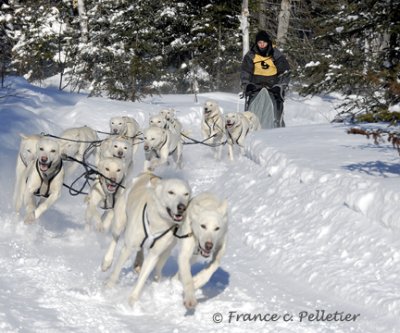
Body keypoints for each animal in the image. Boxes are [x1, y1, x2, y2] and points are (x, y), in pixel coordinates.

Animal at [102, 171, 191, 304]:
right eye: (171, 192)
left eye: (186, 194)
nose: (182, 207)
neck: (158, 222)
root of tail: (147, 173)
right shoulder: (128, 247)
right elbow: (117, 270)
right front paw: (109, 287)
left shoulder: (154, 254)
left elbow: (143, 276)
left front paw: (133, 298)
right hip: (119, 222)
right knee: (115, 239)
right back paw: (107, 261)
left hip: (165, 249)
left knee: (146, 255)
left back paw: (140, 264)